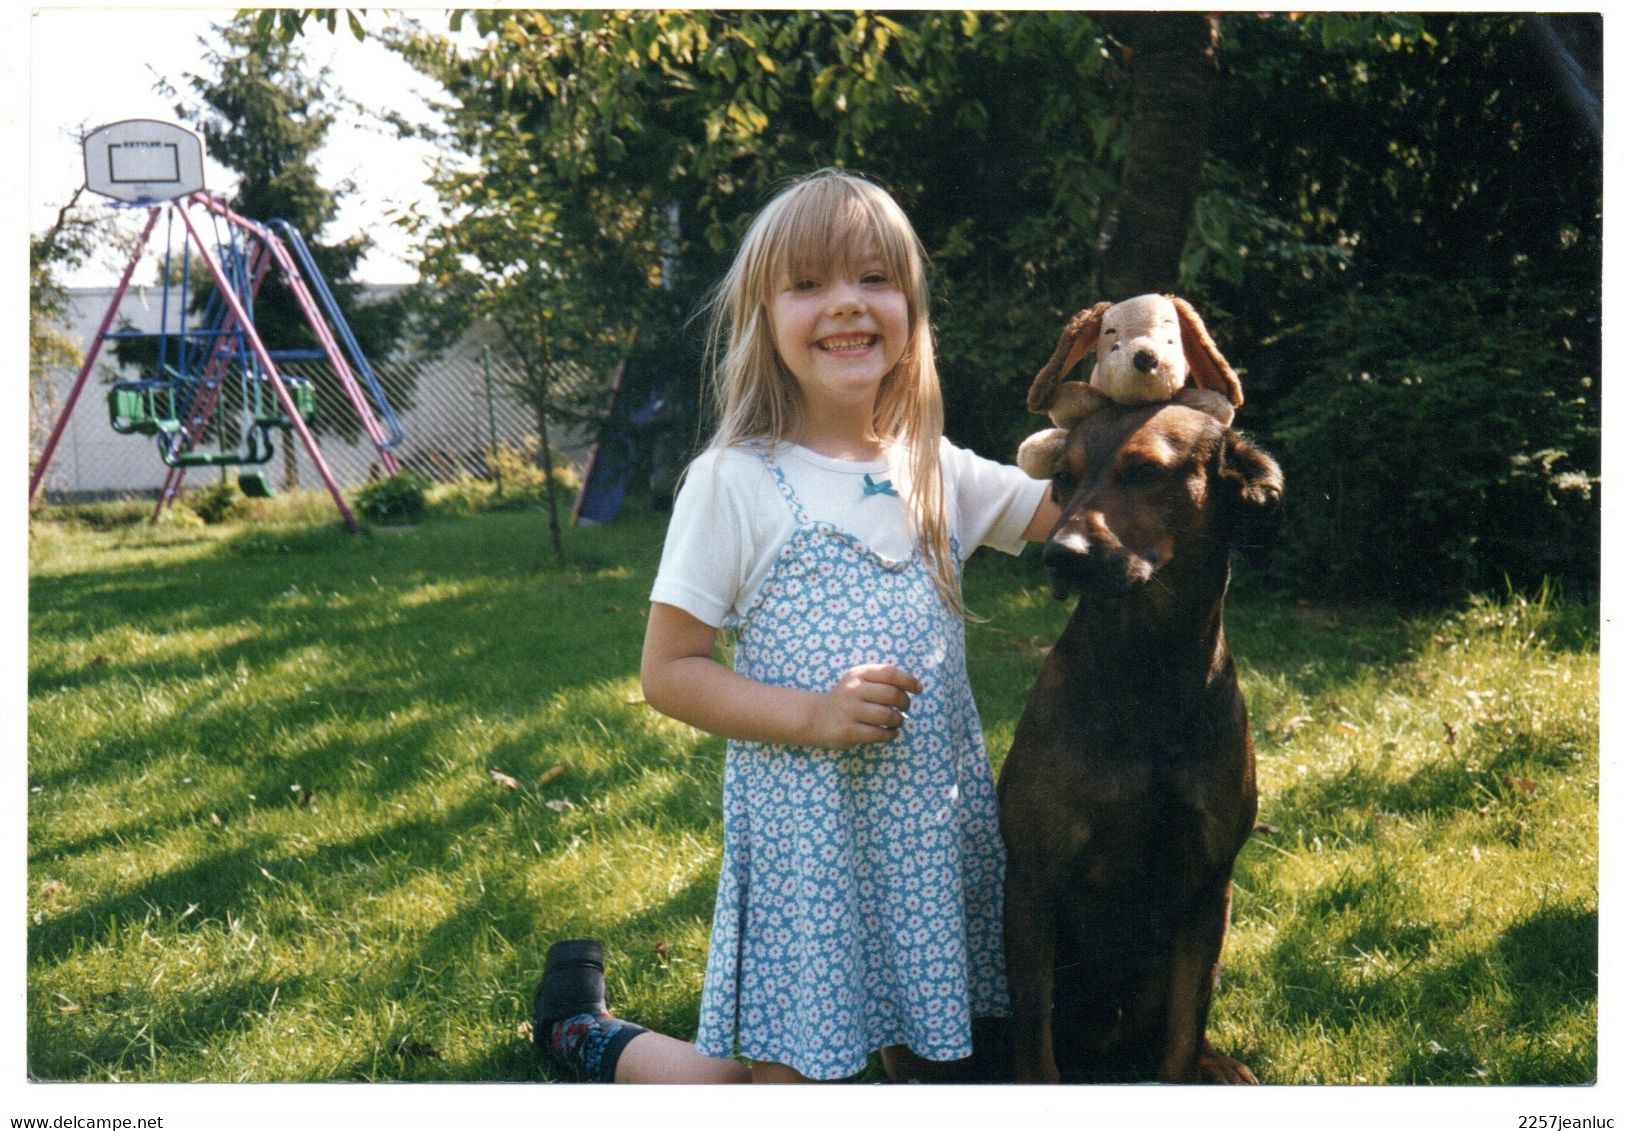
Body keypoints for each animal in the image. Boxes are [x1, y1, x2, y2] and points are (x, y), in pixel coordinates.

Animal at [1001, 393, 1280, 1085]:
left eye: (1147, 471)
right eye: (1063, 478)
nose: (1060, 555)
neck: (1147, 670)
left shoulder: (1209, 884)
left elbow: (1182, 1038)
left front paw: (1194, 1061)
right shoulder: (1033, 879)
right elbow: (1034, 1041)